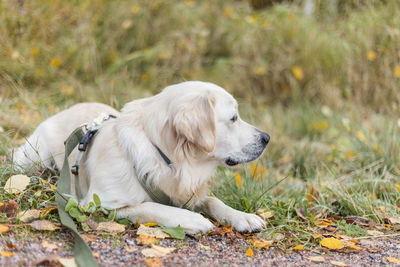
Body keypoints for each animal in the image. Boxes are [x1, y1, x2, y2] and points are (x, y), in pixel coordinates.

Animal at [16, 81, 272, 234]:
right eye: (233, 118)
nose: (267, 137)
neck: (167, 159)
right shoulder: (100, 203)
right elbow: (151, 207)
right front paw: (192, 219)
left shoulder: (189, 192)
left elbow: (213, 200)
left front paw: (243, 217)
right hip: (31, 158)